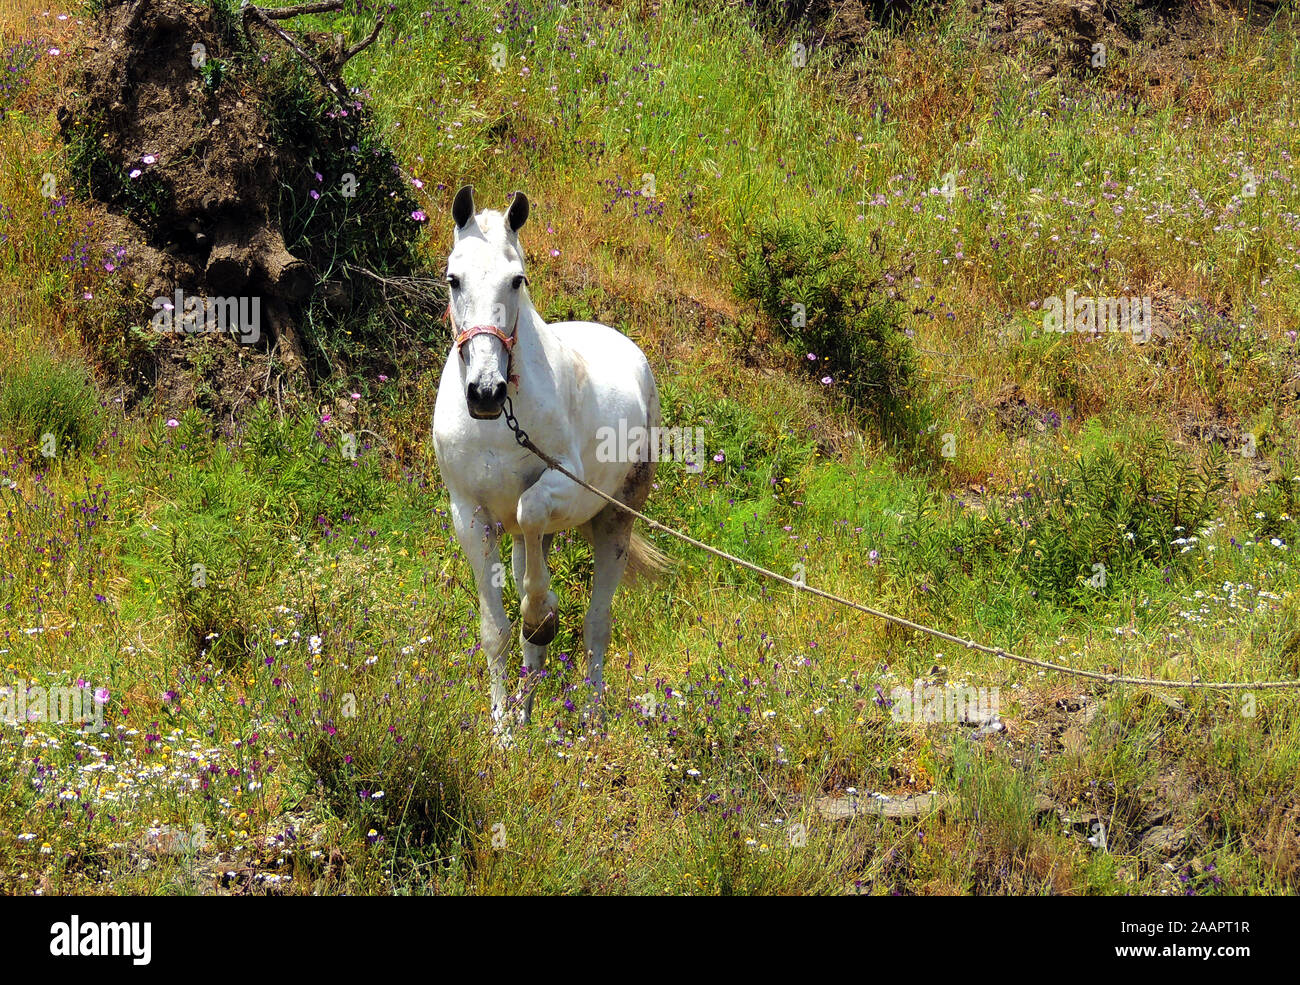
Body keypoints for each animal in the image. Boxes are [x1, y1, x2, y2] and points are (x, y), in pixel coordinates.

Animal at [432, 185, 670, 730]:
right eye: (454, 279)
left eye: (517, 280)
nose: (485, 392)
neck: (499, 425)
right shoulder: (470, 515)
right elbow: (497, 632)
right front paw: (501, 731)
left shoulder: (563, 486)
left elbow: (530, 510)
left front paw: (544, 614)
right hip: (528, 537)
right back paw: (524, 715)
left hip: (615, 520)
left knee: (597, 625)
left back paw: (592, 726)